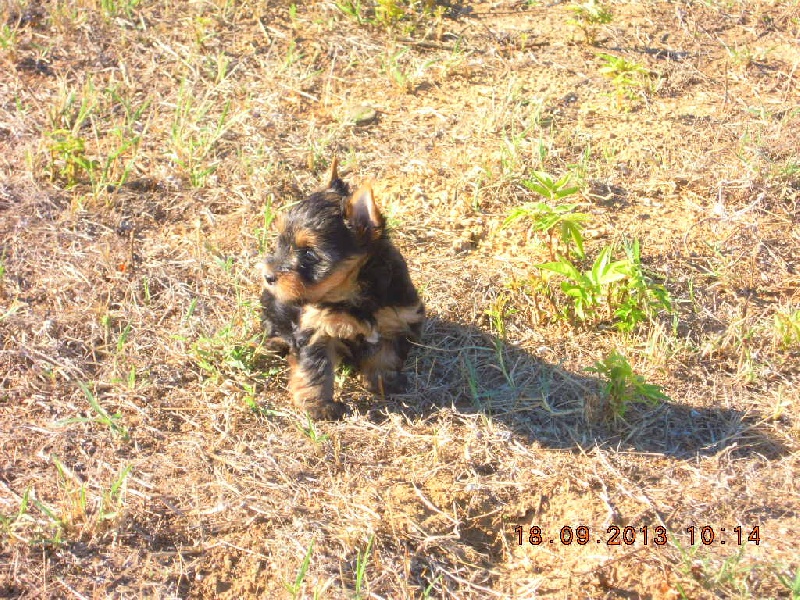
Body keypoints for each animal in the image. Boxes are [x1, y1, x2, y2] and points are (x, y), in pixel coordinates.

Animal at [260, 162, 424, 420]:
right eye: (281, 243)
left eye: (309, 254)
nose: (268, 275)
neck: (354, 294)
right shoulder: (316, 328)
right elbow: (315, 369)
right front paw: (318, 406)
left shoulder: (396, 319)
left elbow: (387, 356)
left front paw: (384, 383)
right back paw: (275, 343)